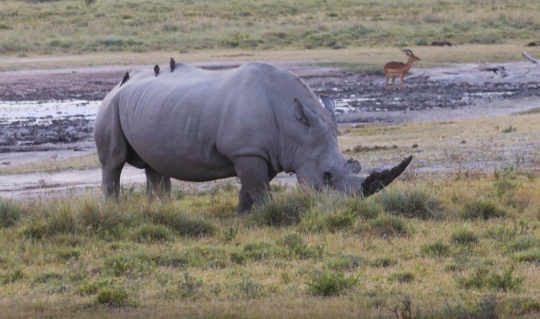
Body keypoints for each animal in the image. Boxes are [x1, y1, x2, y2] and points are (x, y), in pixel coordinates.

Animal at [95, 61, 412, 214]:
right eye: (327, 176)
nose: (348, 206)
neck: (295, 129)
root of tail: (116, 86)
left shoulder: (265, 152)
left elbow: (251, 186)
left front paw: (241, 216)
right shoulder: (247, 150)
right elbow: (259, 187)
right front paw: (267, 216)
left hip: (149, 106)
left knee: (155, 167)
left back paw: (160, 211)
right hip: (110, 105)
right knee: (113, 162)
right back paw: (114, 210)